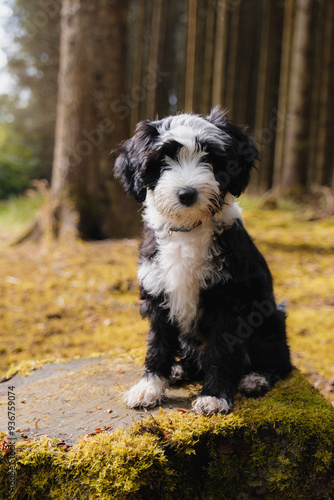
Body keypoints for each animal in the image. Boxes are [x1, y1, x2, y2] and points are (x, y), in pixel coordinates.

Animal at [113, 107, 290, 416]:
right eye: (163, 159)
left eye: (209, 157)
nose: (187, 194)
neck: (188, 230)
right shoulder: (158, 294)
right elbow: (157, 344)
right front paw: (149, 387)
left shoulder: (228, 300)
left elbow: (221, 350)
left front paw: (215, 396)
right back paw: (179, 370)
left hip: (270, 318)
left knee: (280, 361)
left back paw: (256, 378)